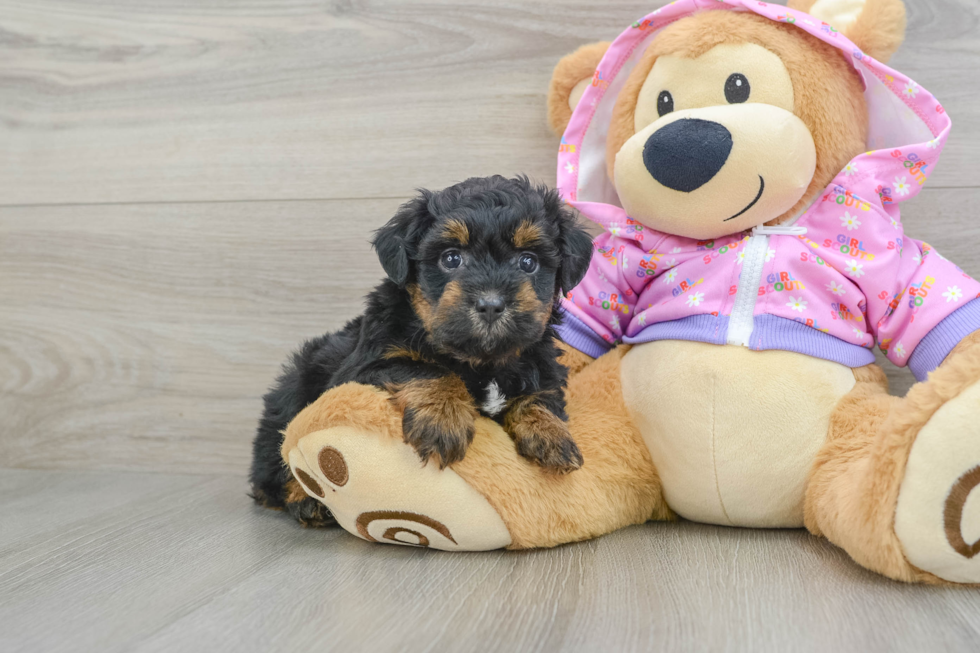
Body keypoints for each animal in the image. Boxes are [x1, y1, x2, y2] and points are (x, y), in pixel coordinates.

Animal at [249, 173, 592, 524]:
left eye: (528, 262)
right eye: (451, 258)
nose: (491, 304)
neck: (481, 359)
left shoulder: (541, 361)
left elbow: (541, 393)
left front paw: (551, 433)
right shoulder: (366, 365)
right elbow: (426, 368)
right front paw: (443, 421)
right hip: (294, 393)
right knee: (275, 466)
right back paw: (306, 500)